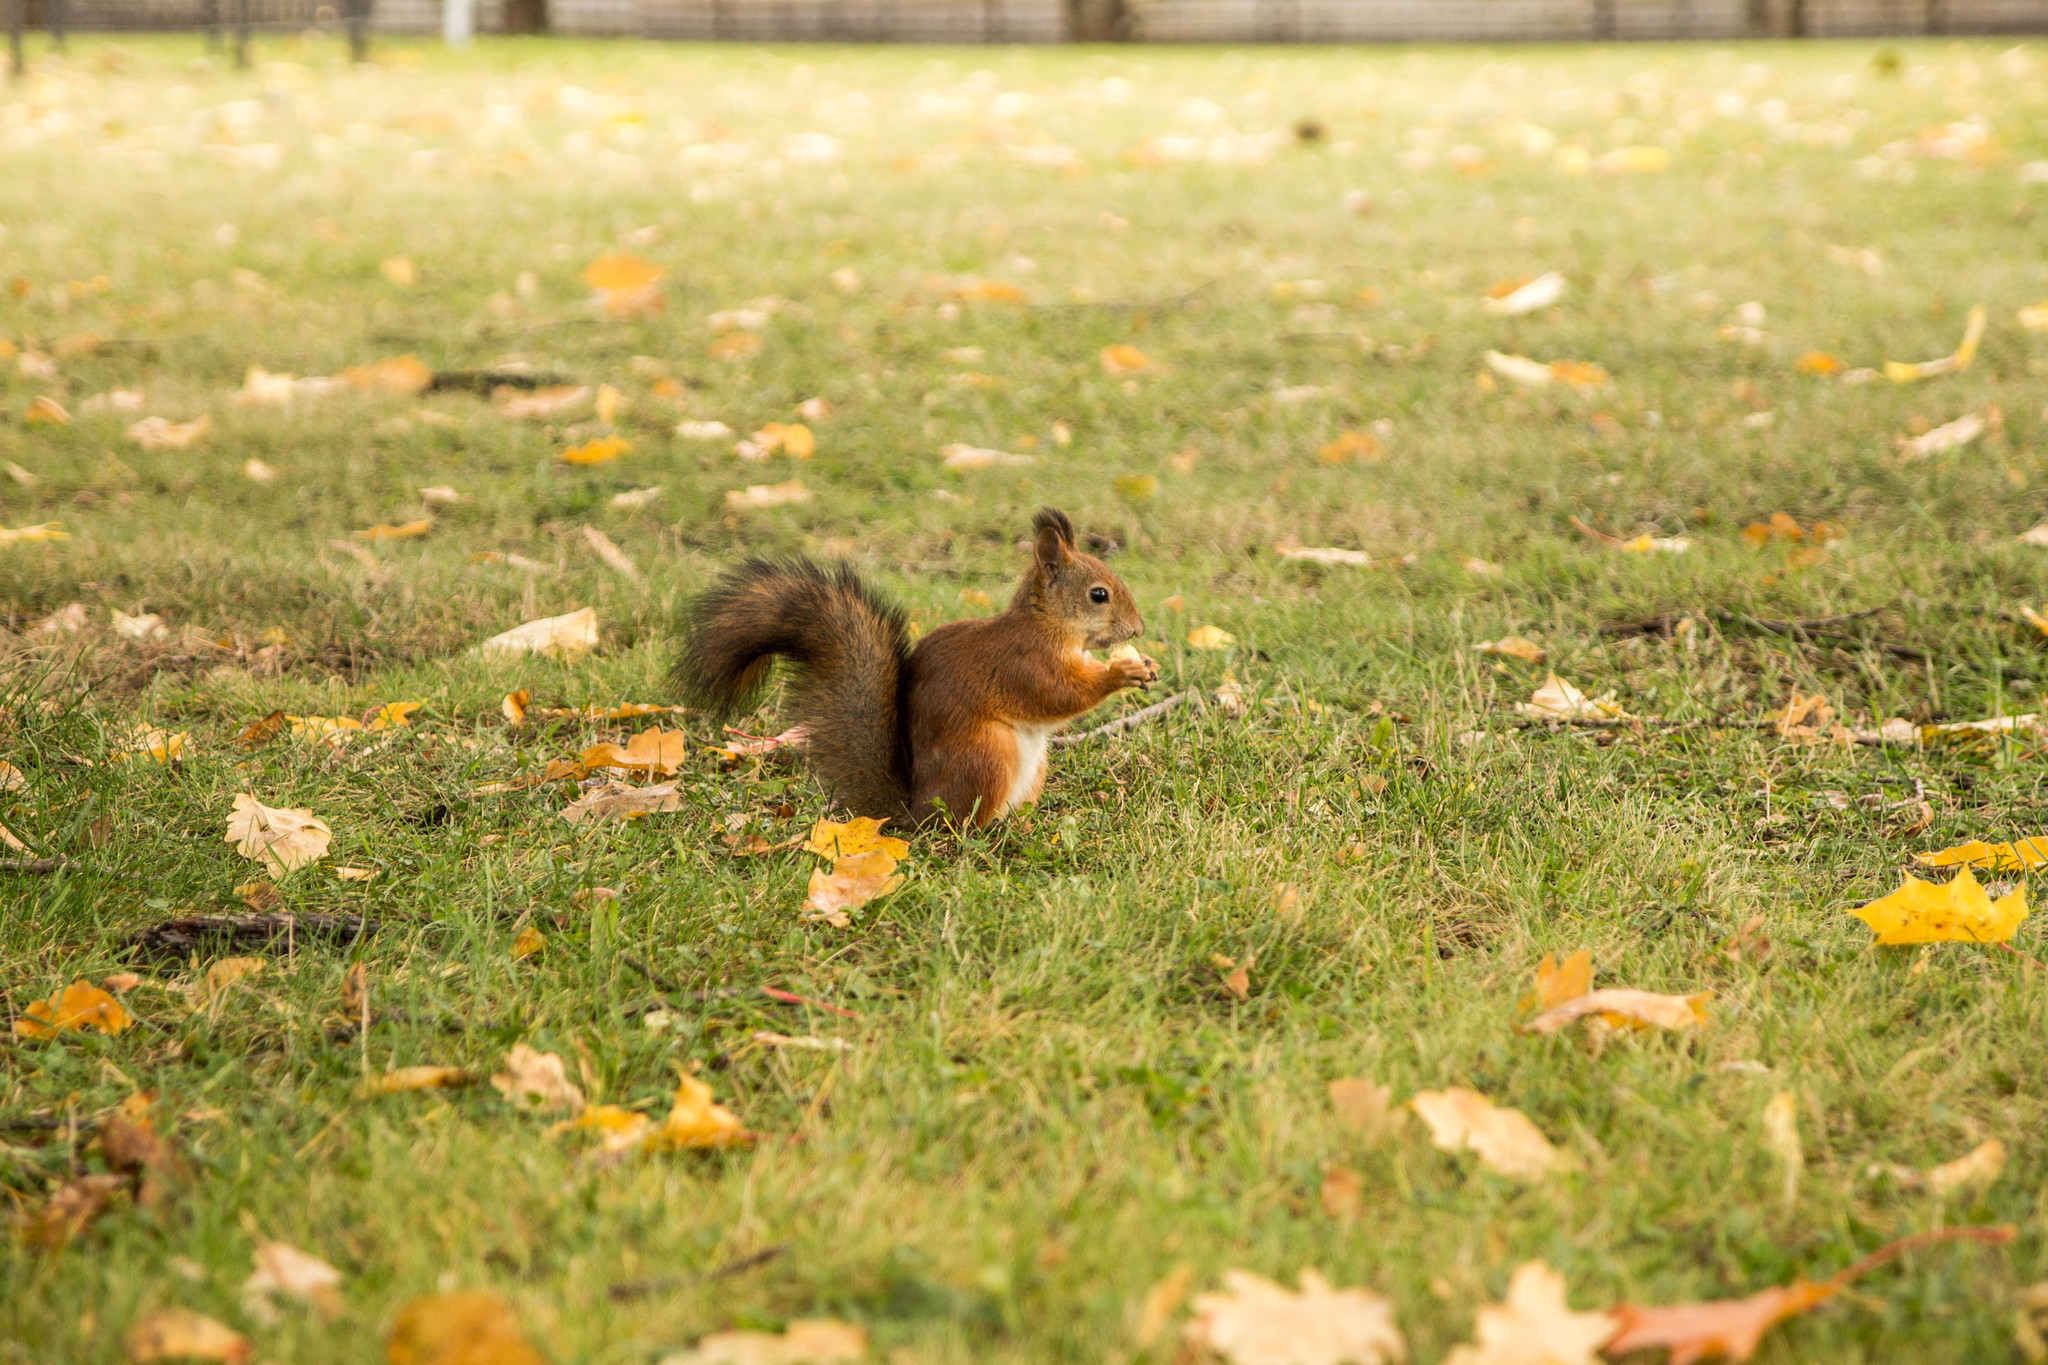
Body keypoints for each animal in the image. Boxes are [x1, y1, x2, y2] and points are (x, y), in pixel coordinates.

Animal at [679, 507, 1163, 826]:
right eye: (1098, 595)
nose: (1139, 629)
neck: (1049, 626)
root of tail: (916, 813)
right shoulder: (1023, 663)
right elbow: (1057, 696)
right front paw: (1122, 673)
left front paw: (1147, 663)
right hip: (986, 756)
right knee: (964, 824)